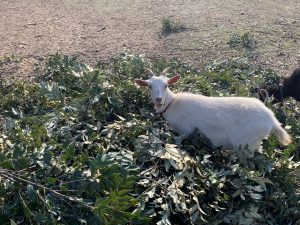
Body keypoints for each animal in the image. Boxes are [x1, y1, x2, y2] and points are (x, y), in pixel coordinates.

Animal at [135, 67, 292, 157]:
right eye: (149, 86)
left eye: (166, 85)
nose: (158, 100)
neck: (173, 103)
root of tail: (271, 119)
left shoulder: (186, 130)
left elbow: (179, 140)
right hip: (255, 142)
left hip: (245, 143)